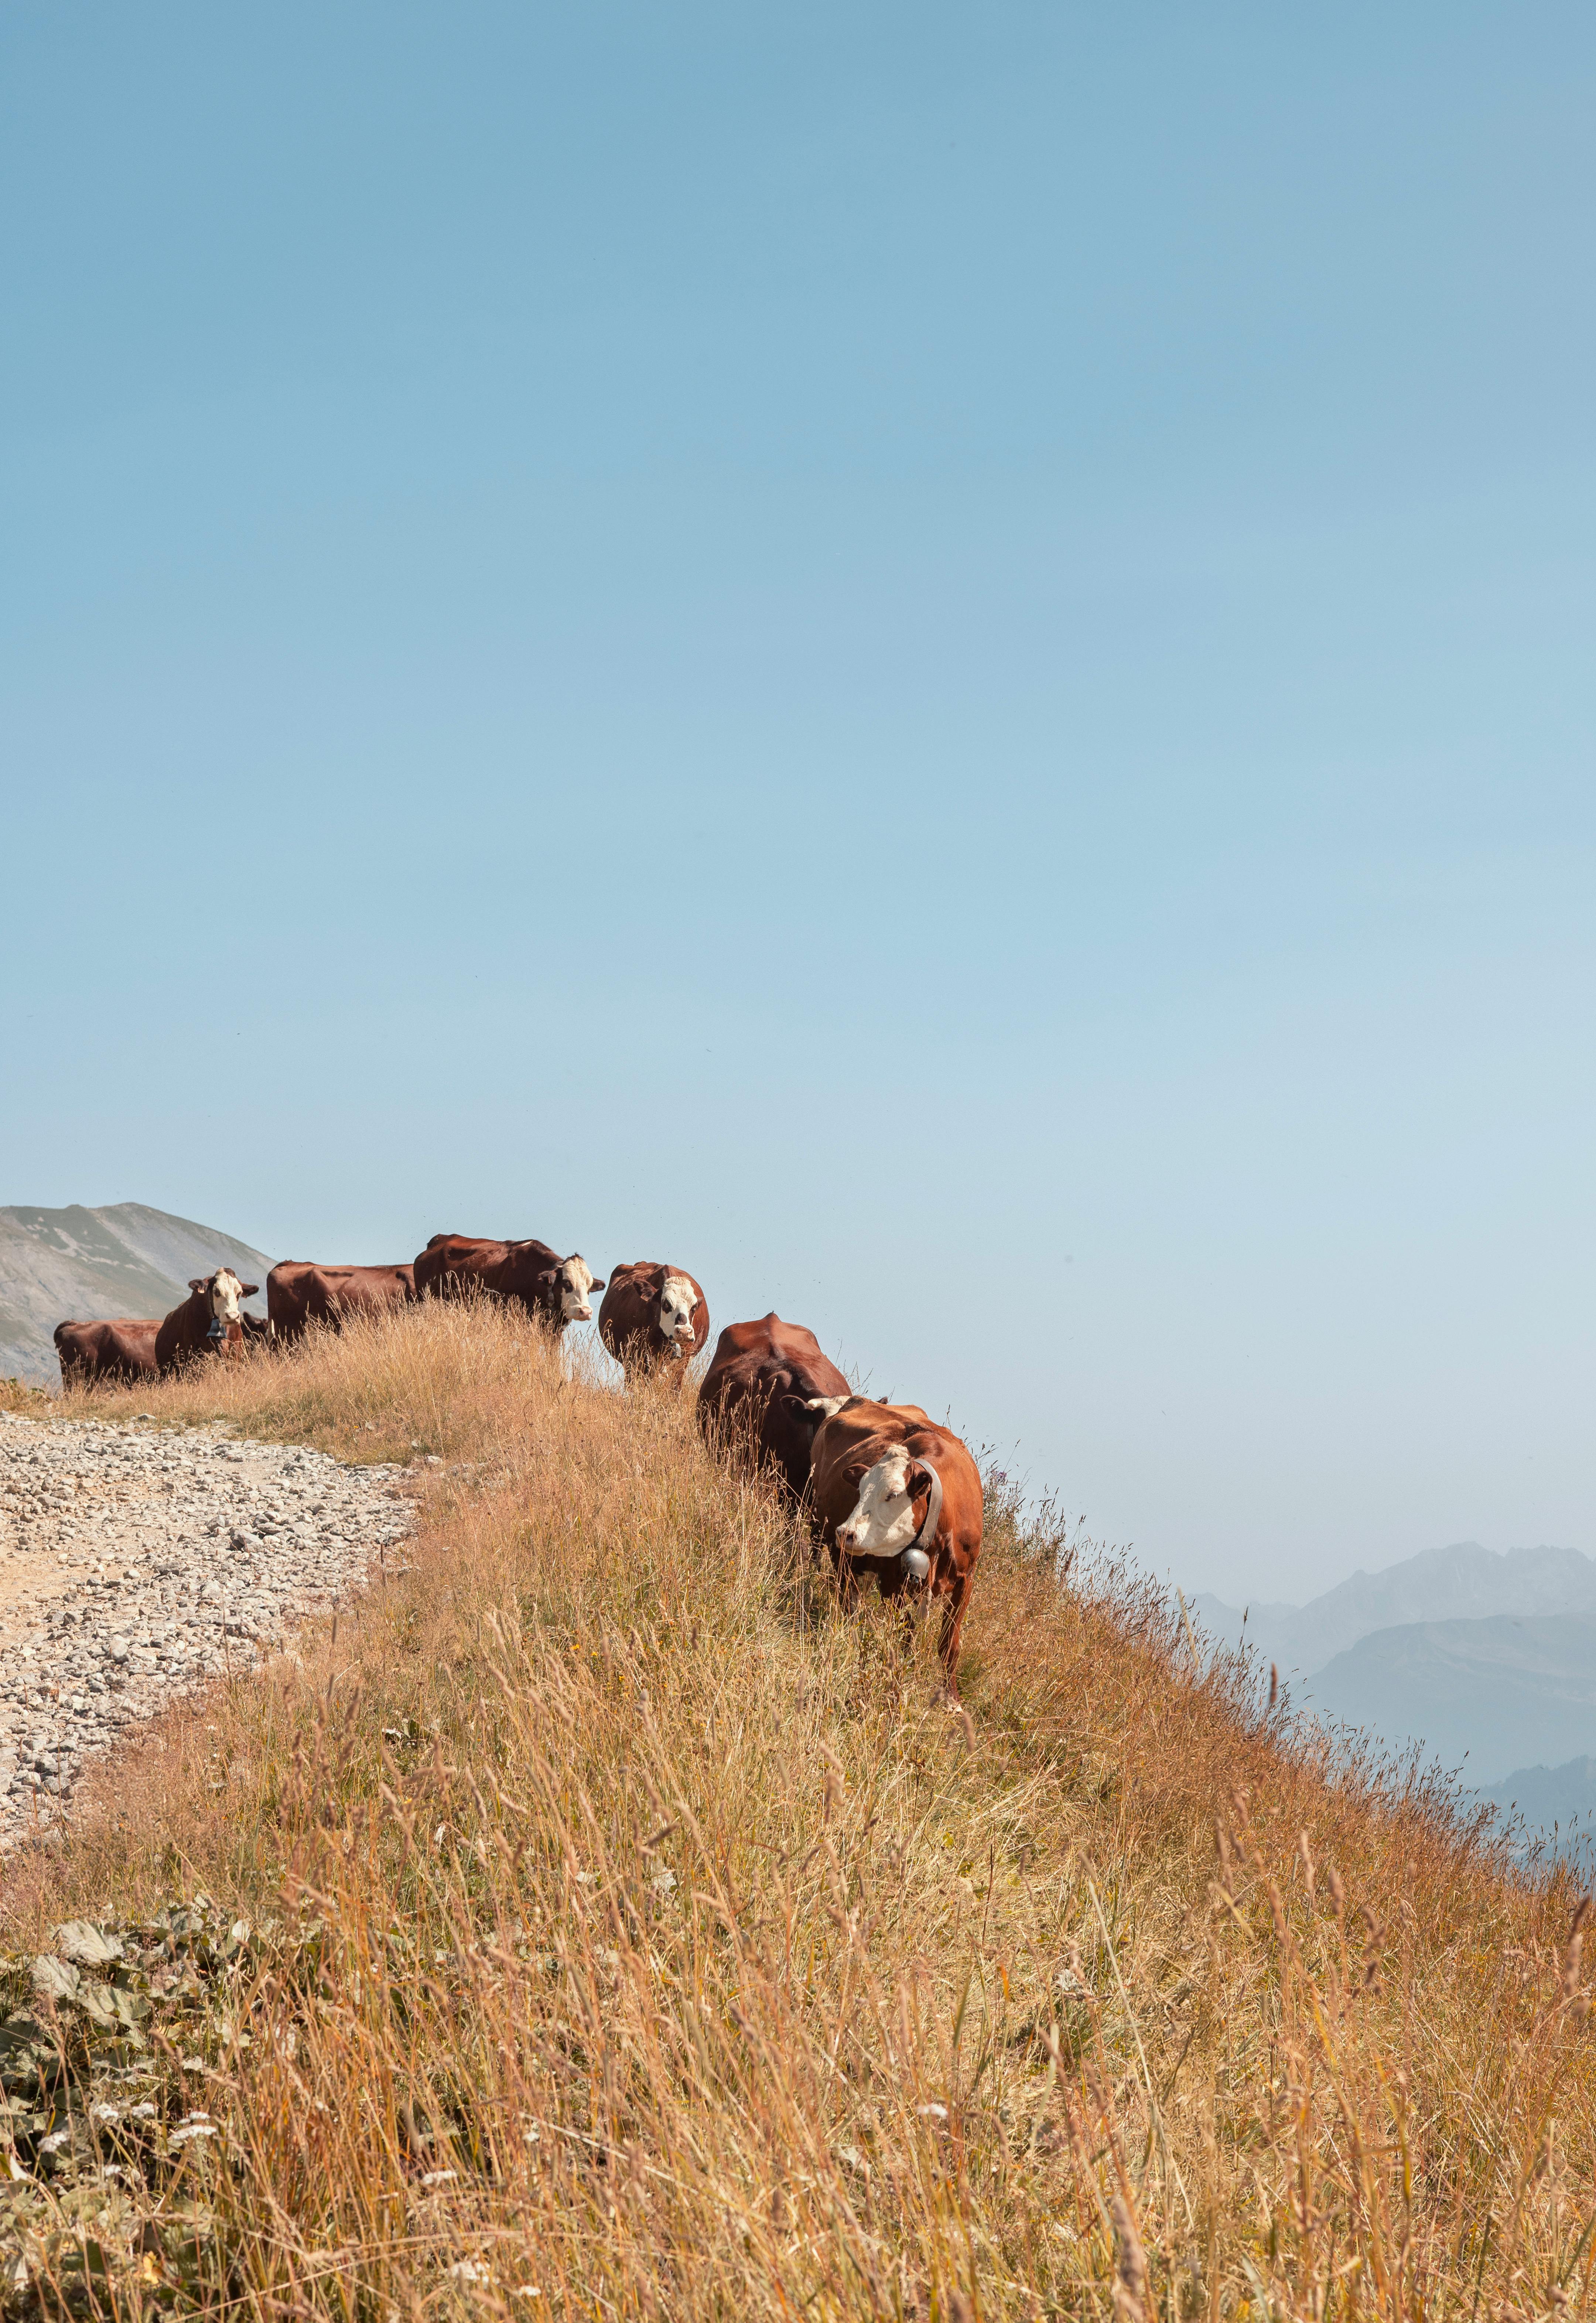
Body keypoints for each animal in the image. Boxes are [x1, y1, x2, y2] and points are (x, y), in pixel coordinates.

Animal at [808, 1398, 985, 1694]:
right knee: (847, 1602)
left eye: (893, 1494)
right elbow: (905, 1633)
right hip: (820, 1529)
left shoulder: (966, 1579)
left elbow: (949, 1644)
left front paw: (950, 1696)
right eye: (860, 1489)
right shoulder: (891, 1582)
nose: (846, 1533)